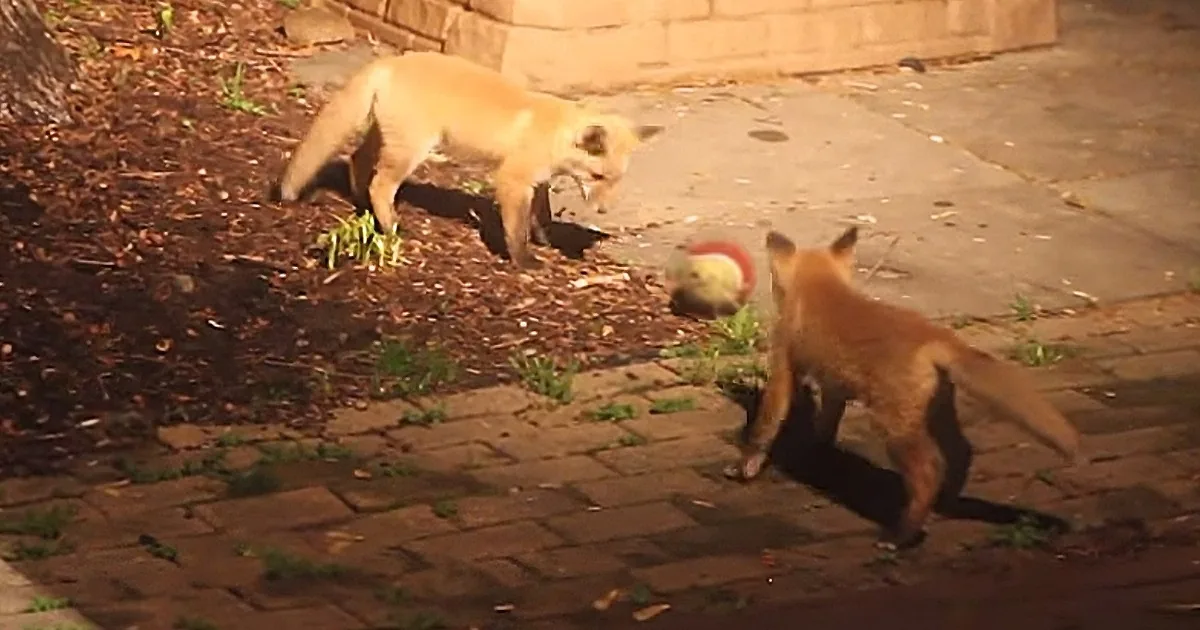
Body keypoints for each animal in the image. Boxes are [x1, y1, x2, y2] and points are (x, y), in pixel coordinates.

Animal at [270, 51, 664, 268]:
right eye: (598, 177)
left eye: (615, 180)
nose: (603, 211)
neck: (553, 133)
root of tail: (392, 60)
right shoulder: (512, 179)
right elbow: (515, 229)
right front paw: (524, 261)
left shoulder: (536, 181)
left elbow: (541, 217)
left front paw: (546, 242)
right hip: (411, 149)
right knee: (380, 184)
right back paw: (392, 226)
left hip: (387, 139)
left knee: (357, 162)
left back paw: (363, 207)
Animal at [725, 226, 1083, 549]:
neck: (822, 287)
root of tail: (935, 336)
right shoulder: (834, 386)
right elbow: (825, 427)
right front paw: (817, 454)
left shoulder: (782, 367)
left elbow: (764, 428)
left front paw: (745, 468)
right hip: (935, 413)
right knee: (961, 452)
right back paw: (943, 504)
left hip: (893, 427)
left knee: (929, 470)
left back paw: (901, 536)